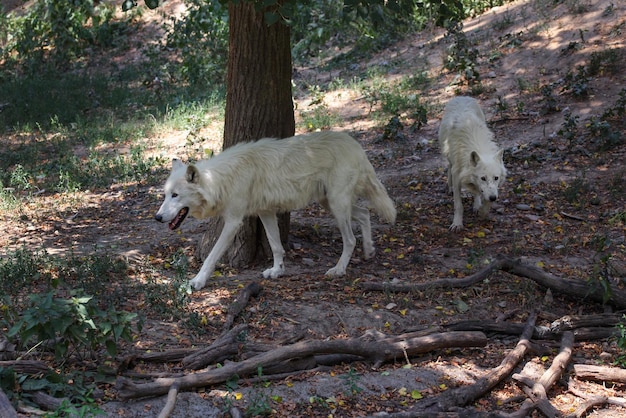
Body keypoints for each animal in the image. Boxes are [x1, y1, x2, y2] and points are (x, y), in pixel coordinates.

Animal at [154, 131, 394, 290]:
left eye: (175, 195)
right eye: (165, 194)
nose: (157, 217)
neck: (221, 180)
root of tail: (355, 145)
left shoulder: (233, 222)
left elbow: (211, 256)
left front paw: (197, 281)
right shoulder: (265, 212)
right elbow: (276, 244)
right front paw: (277, 270)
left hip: (336, 204)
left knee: (351, 238)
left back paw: (339, 269)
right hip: (330, 202)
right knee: (365, 213)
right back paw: (369, 250)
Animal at [436, 95, 504, 232]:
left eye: (496, 178)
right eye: (483, 178)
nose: (494, 198)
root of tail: (461, 96)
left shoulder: (490, 189)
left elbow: (484, 196)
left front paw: (482, 211)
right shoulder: (458, 176)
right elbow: (458, 205)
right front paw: (457, 224)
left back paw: (476, 205)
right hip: (448, 155)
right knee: (449, 169)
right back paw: (449, 188)